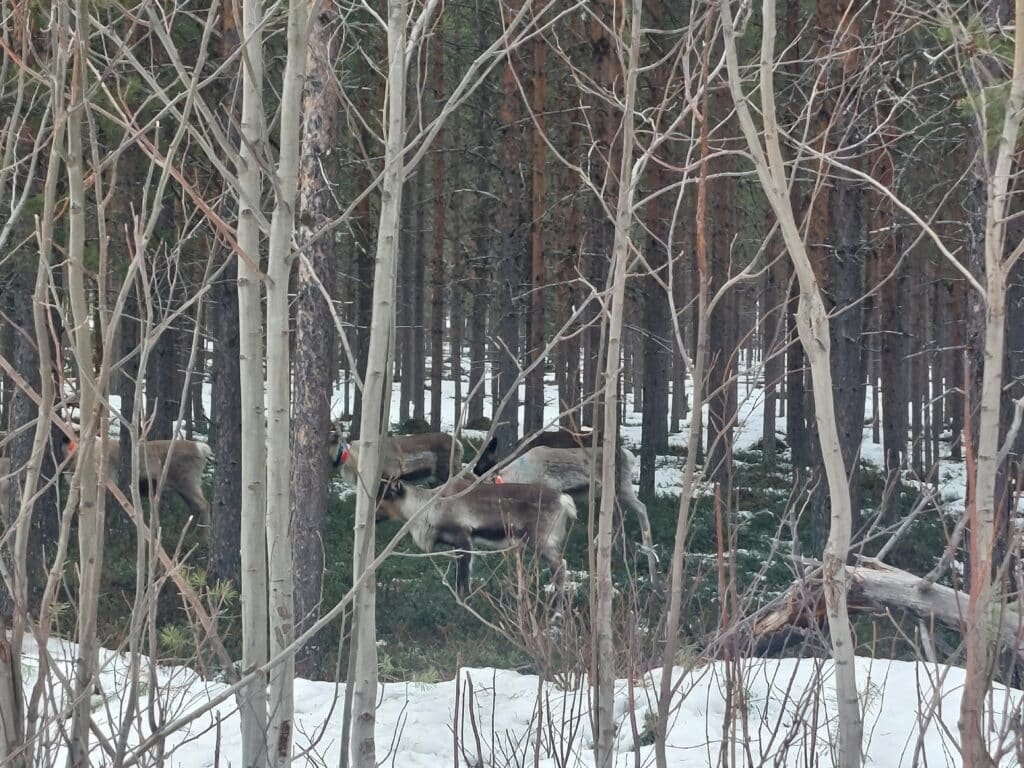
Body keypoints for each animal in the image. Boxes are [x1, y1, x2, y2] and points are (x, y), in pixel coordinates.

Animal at [376, 477, 577, 612]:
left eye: (384, 496)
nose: (372, 516)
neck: (428, 510)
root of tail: (564, 500)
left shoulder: (463, 538)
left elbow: (463, 577)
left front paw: (464, 604)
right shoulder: (456, 544)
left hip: (540, 539)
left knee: (560, 566)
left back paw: (557, 612)